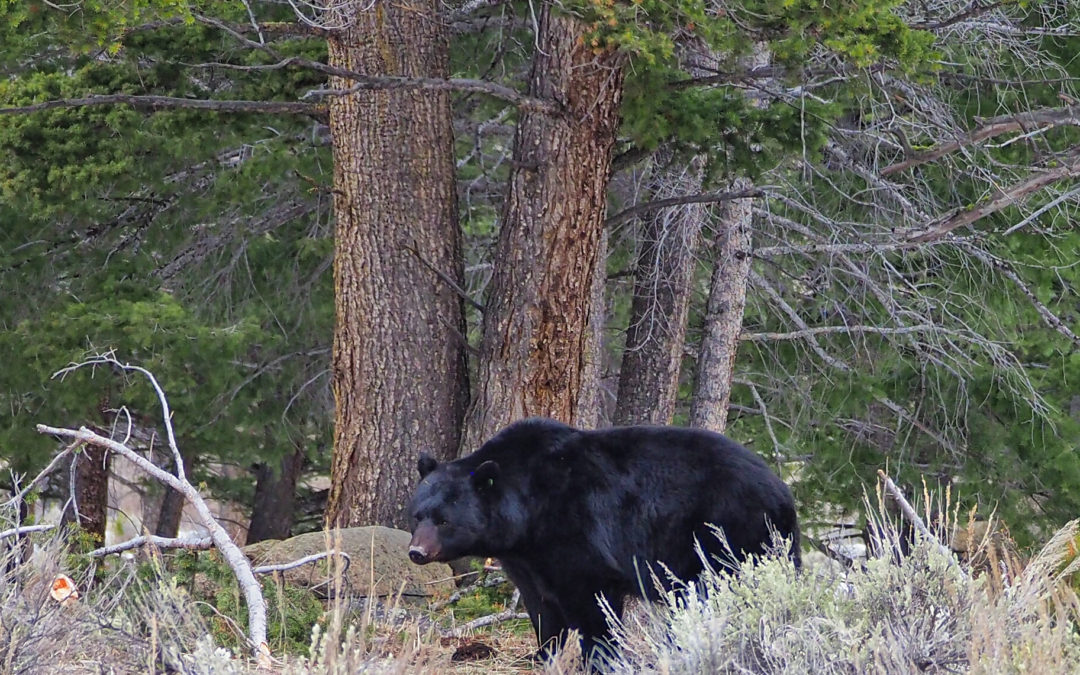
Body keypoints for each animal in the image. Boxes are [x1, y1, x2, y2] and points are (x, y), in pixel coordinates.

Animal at [408, 416, 799, 656]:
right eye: (418, 514)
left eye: (444, 520)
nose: (416, 552)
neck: (528, 513)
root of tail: (782, 489)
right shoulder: (527, 561)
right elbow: (542, 609)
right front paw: (547, 653)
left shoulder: (577, 533)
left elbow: (593, 604)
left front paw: (600, 653)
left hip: (732, 535)